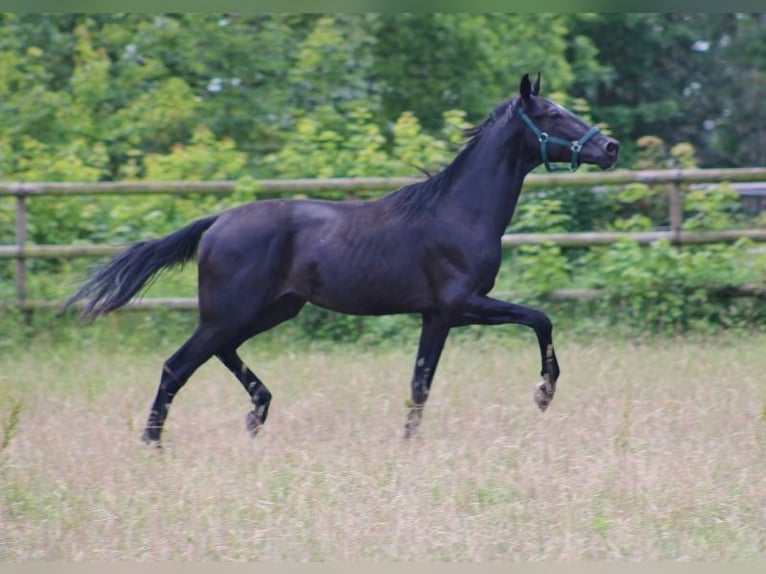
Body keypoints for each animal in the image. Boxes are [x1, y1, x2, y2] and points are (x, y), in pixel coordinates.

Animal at [63, 74, 620, 448]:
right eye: (551, 114)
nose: (610, 146)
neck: (457, 211)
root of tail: (217, 221)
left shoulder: (437, 316)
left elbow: (420, 384)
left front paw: (408, 445)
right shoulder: (462, 304)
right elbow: (540, 318)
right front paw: (544, 392)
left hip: (270, 310)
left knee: (218, 353)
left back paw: (257, 412)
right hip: (231, 313)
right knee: (177, 366)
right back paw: (154, 443)